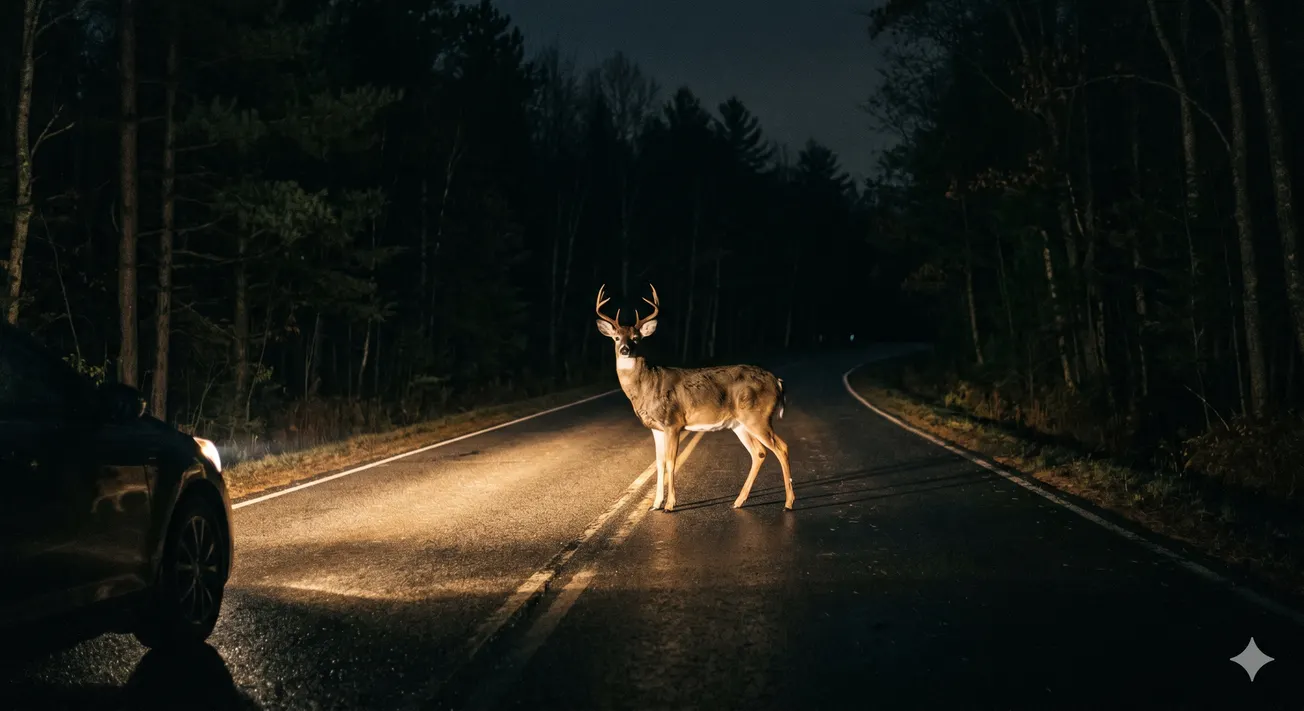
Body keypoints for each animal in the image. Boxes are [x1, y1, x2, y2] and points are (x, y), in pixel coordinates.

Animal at [594, 283, 794, 513]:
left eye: (636, 338)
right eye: (616, 337)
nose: (625, 349)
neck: (646, 385)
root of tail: (777, 381)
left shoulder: (673, 422)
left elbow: (671, 462)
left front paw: (670, 505)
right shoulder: (656, 428)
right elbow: (659, 463)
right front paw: (655, 504)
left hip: (758, 416)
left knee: (782, 447)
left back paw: (788, 503)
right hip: (740, 424)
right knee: (759, 453)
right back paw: (738, 501)